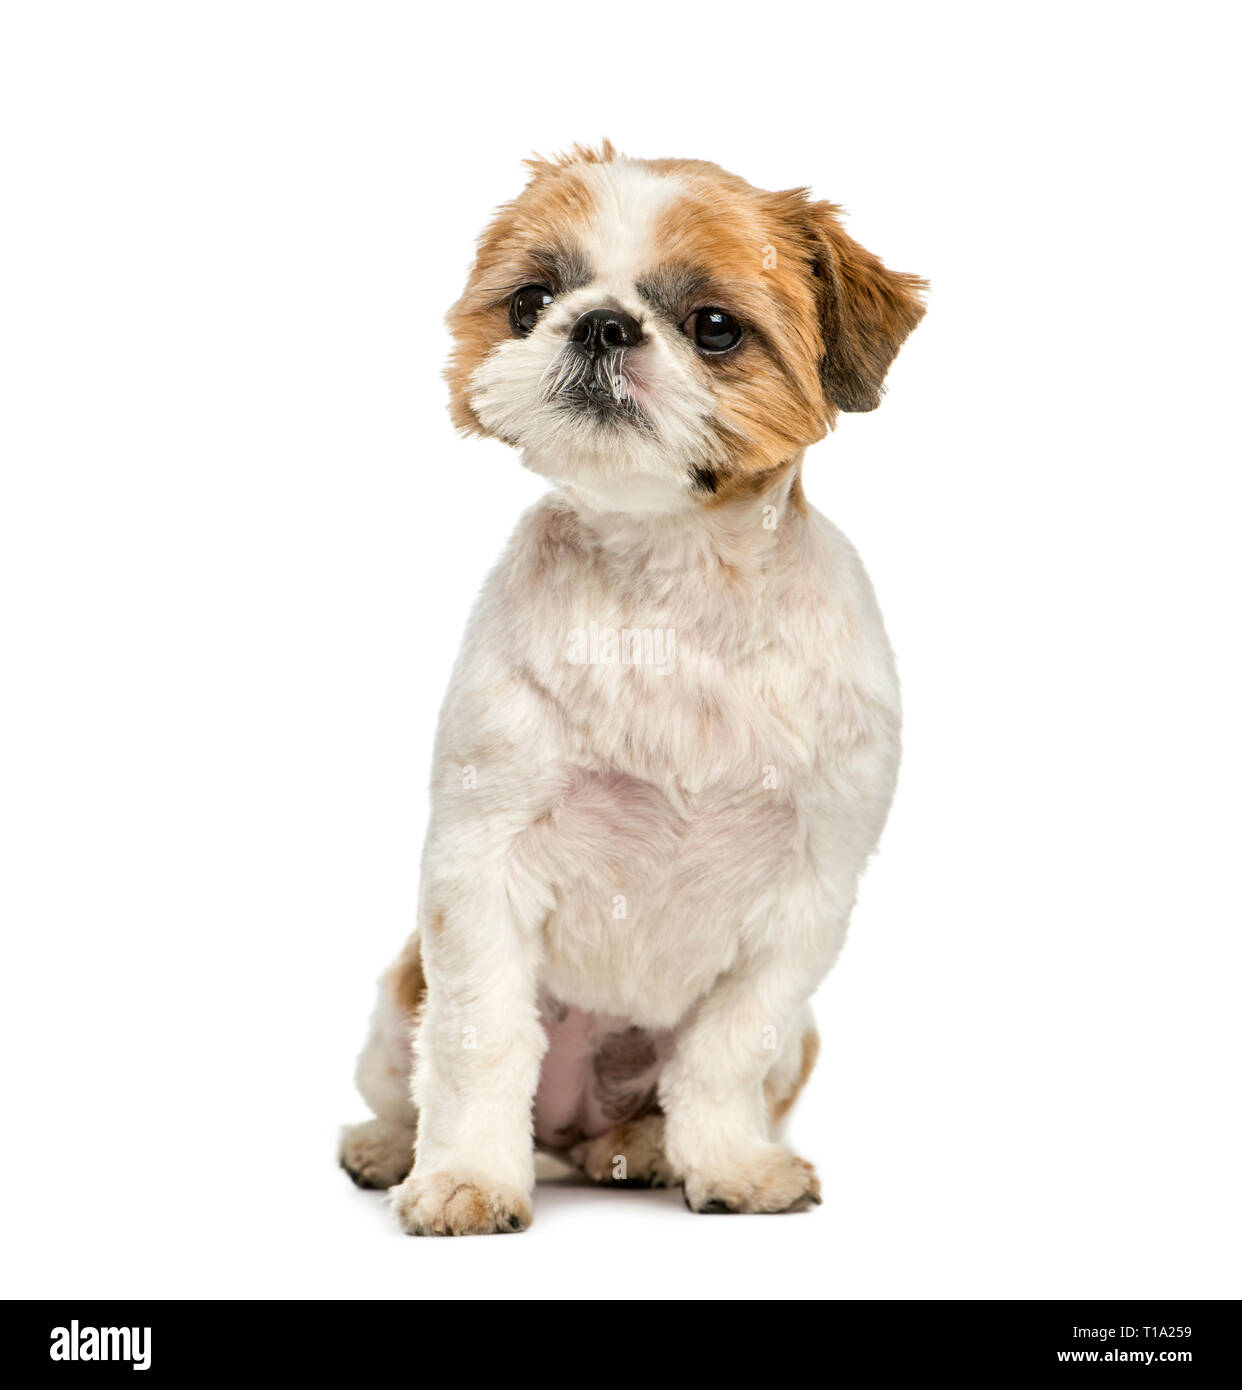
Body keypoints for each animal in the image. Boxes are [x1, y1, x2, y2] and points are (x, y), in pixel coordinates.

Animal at [340, 143, 922, 1239]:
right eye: (531, 301)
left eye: (716, 326)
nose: (600, 322)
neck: (673, 589)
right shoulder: (480, 869)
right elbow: (480, 1040)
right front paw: (465, 1178)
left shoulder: (808, 897)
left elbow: (726, 1048)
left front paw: (729, 1163)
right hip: (399, 997)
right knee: (412, 1077)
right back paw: (391, 1147)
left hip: (796, 1040)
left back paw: (645, 1148)